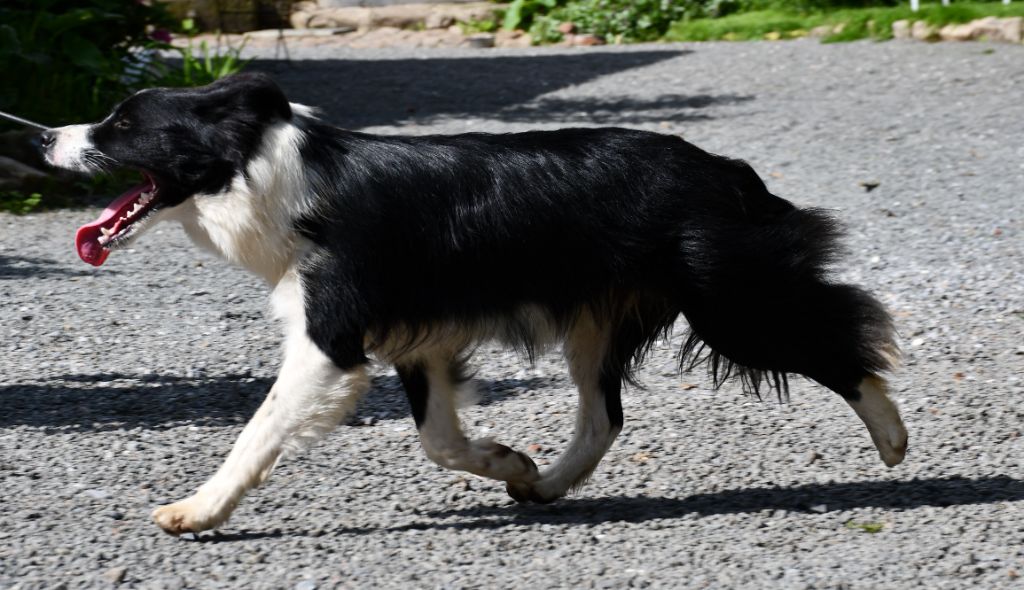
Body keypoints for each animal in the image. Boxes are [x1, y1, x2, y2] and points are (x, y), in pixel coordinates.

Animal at [42, 72, 907, 535]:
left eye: (122, 124)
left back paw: (894, 438)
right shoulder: (417, 339)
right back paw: (546, 484)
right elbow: (438, 439)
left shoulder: (331, 337)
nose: (43, 137)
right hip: (598, 319)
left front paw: (196, 510)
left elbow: (258, 432)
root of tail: (727, 169)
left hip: (726, 297)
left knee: (843, 340)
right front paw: (506, 462)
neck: (267, 173)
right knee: (604, 414)